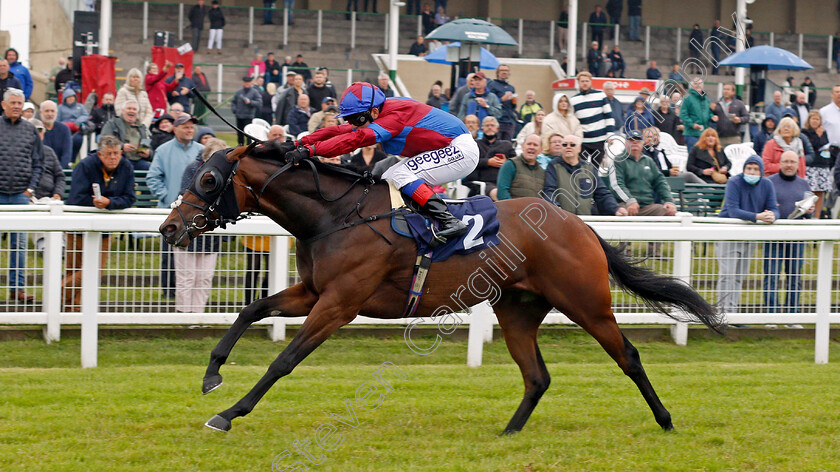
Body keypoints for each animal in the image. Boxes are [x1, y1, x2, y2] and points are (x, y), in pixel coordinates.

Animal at [161, 142, 724, 434]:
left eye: (208, 180)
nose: (169, 228)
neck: (335, 215)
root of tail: (579, 224)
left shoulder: (340, 304)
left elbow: (284, 360)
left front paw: (228, 413)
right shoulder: (313, 292)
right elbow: (251, 310)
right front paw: (212, 375)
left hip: (586, 303)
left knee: (627, 355)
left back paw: (666, 420)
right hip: (517, 310)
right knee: (537, 376)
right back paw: (508, 432)